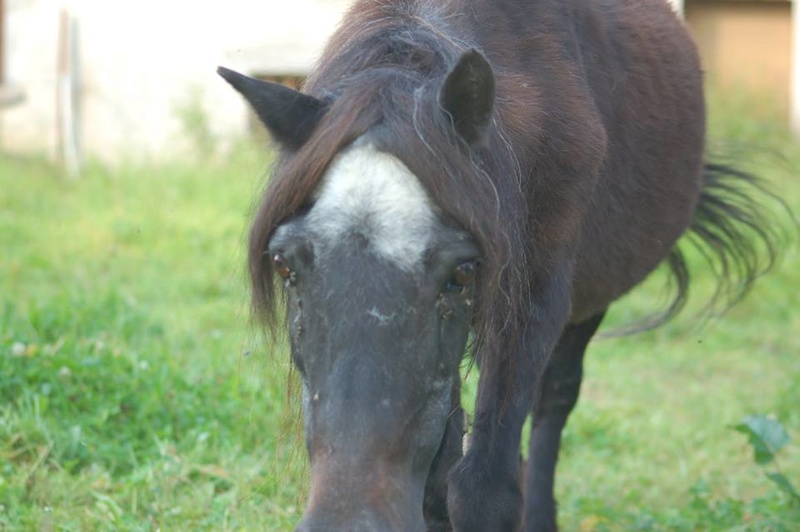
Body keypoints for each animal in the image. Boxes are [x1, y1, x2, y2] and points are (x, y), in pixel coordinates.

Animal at [217, 2, 780, 528]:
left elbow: (484, 488)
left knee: (553, 401)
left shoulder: (535, 301)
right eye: (284, 265)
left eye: (461, 273)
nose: (350, 519)